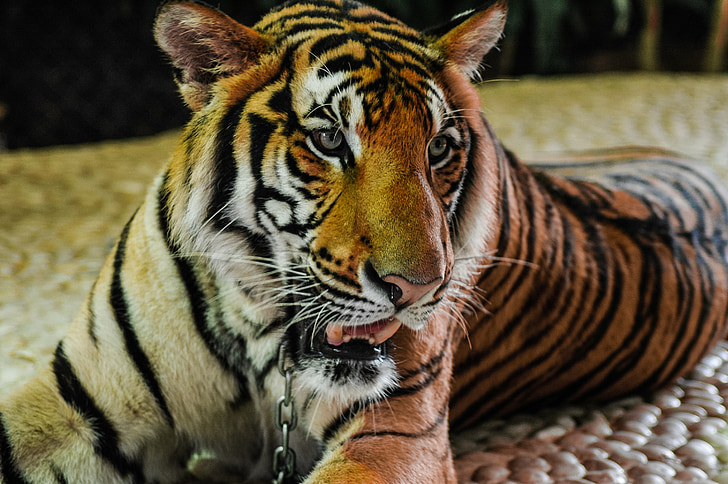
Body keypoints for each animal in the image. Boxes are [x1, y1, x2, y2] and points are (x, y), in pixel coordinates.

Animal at [1, 0, 728, 482]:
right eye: (328, 140)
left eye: (439, 149)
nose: (419, 288)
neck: (263, 335)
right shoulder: (76, 403)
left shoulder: (394, 435)